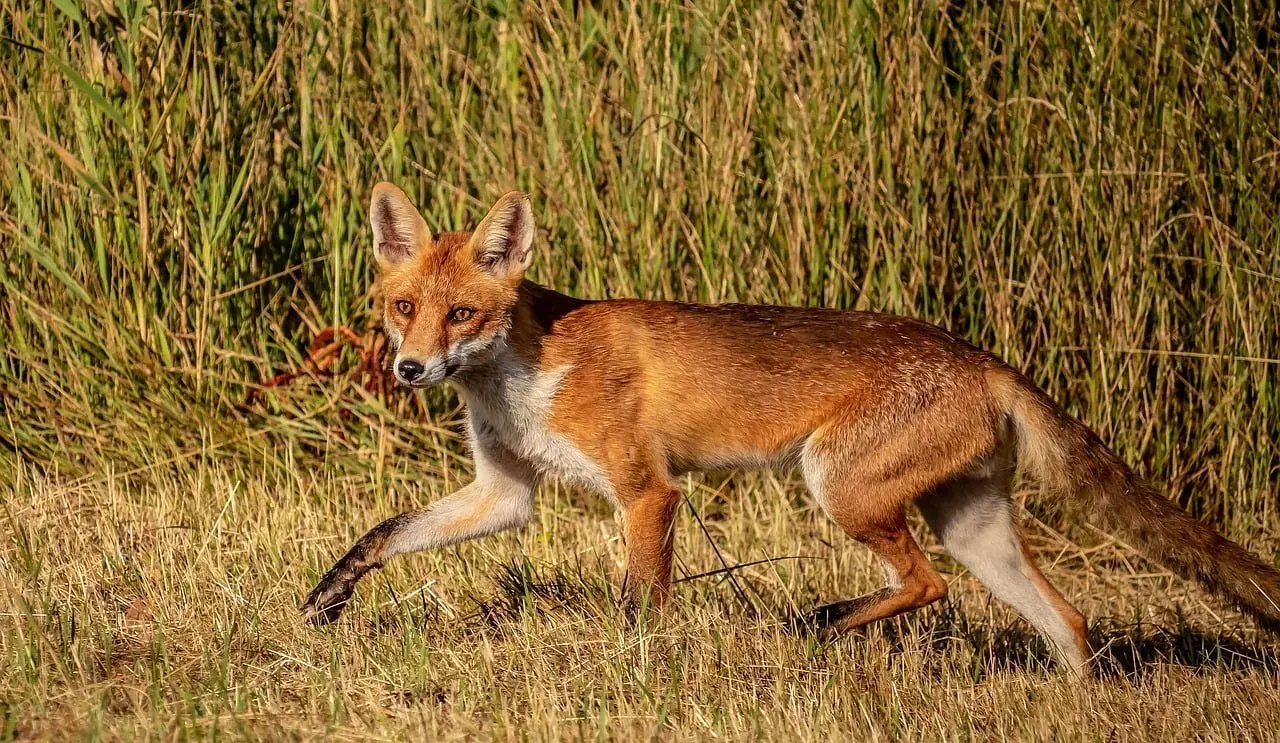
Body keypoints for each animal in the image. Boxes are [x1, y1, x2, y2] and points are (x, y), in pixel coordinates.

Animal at [301, 182, 1280, 672]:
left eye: (463, 313)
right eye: (404, 309)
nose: (410, 369)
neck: (525, 374)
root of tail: (983, 357)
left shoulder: (649, 490)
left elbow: (639, 605)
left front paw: (635, 676)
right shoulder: (504, 492)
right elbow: (384, 532)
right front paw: (327, 596)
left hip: (839, 486)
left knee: (925, 585)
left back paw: (820, 619)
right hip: (971, 525)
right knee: (1066, 621)